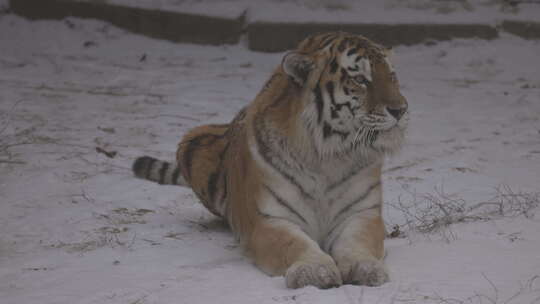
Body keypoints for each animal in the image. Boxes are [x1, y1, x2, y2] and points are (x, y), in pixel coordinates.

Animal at [133, 32, 408, 288]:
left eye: (393, 77)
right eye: (360, 79)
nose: (401, 110)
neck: (328, 157)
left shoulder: (362, 214)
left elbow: (356, 243)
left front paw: (367, 268)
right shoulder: (270, 220)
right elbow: (294, 244)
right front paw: (314, 270)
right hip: (192, 141)